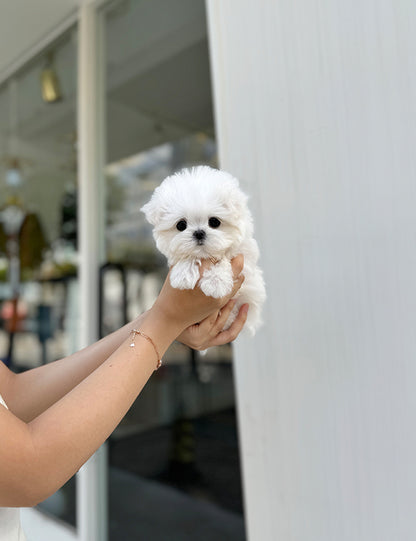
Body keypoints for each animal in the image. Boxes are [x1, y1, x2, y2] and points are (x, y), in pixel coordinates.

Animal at [141, 165, 266, 334]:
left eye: (214, 222)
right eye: (181, 225)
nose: (199, 233)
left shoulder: (245, 256)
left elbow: (225, 257)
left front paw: (216, 282)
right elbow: (187, 256)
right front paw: (183, 274)